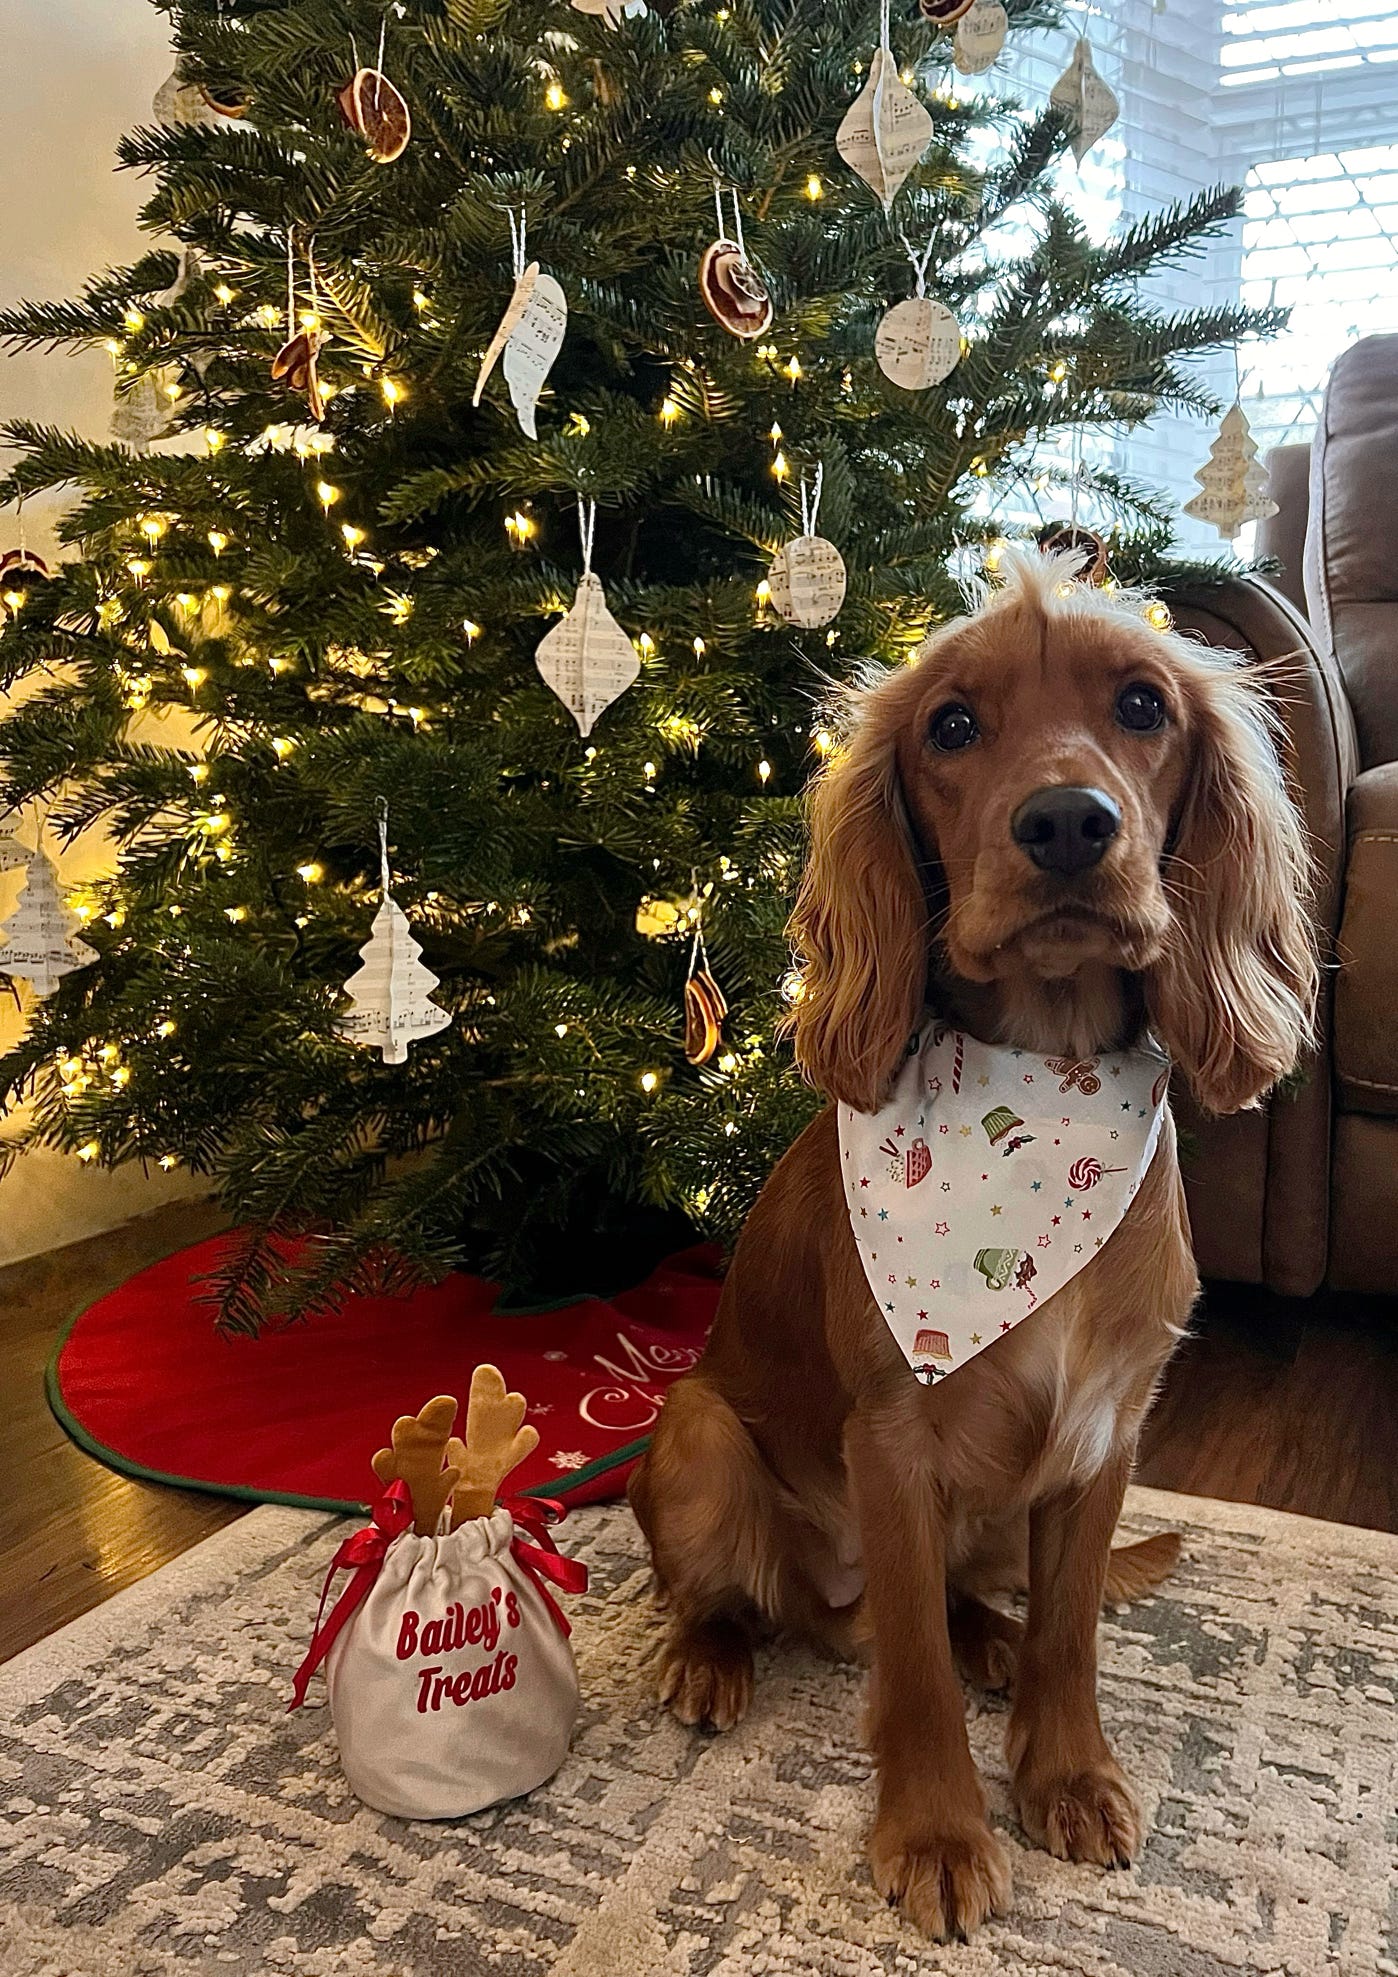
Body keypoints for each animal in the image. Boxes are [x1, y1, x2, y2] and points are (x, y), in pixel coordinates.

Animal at [628, 553, 1320, 1945]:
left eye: (1142, 704)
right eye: (951, 727)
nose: (1066, 824)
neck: (1043, 1091)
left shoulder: (1105, 1436)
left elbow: (1070, 1636)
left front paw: (1068, 1776)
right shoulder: (893, 1441)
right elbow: (916, 1681)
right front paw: (940, 1836)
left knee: (969, 1605)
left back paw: (989, 1637)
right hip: (700, 1430)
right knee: (746, 1603)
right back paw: (710, 1660)